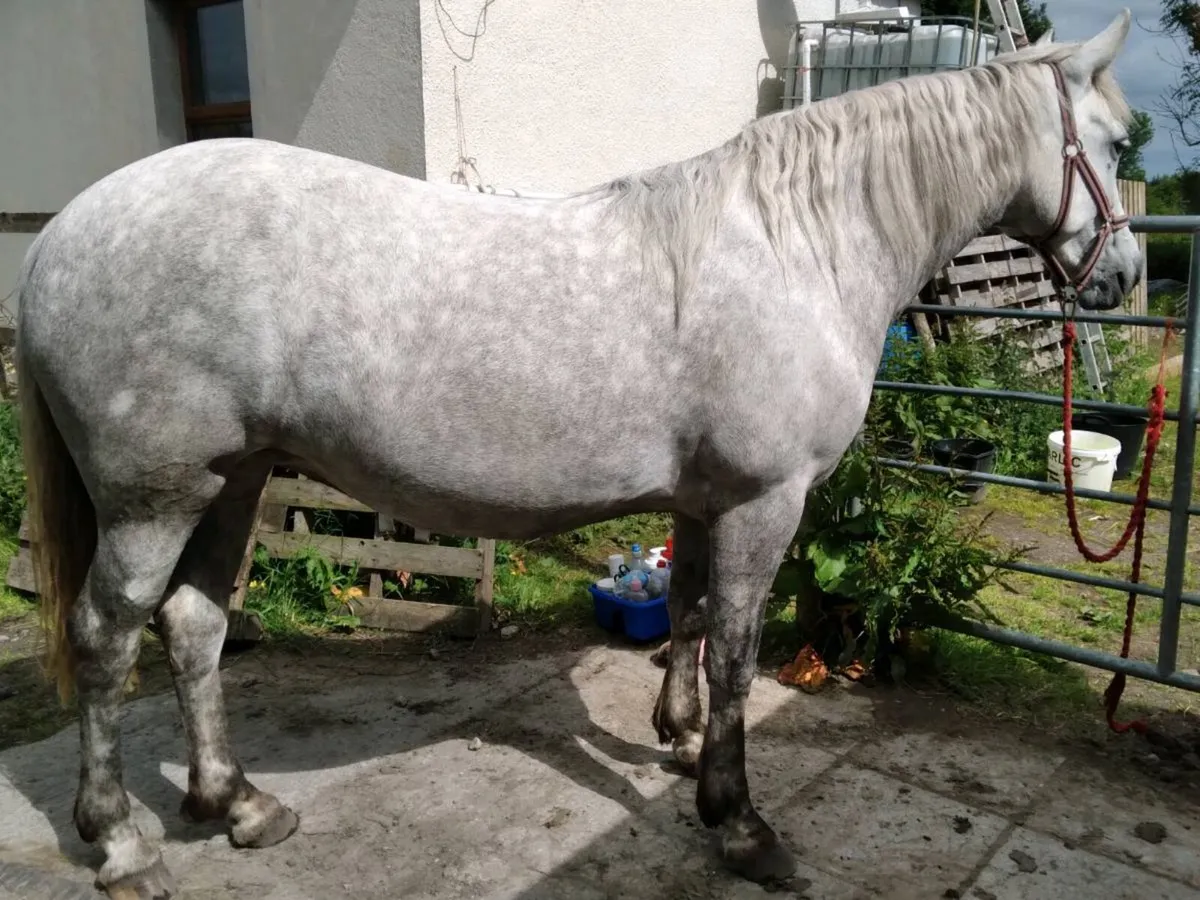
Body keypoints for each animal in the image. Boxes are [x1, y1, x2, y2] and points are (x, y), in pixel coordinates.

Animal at [14, 11, 1140, 898]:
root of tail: (59, 235)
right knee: (109, 640)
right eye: (1117, 141)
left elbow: (686, 614)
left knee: (195, 627)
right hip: (154, 497)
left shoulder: (704, 500)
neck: (799, 246)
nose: (1126, 274)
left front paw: (677, 739)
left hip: (232, 479)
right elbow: (736, 653)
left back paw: (238, 804)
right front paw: (739, 822)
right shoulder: (764, 501)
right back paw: (122, 843)